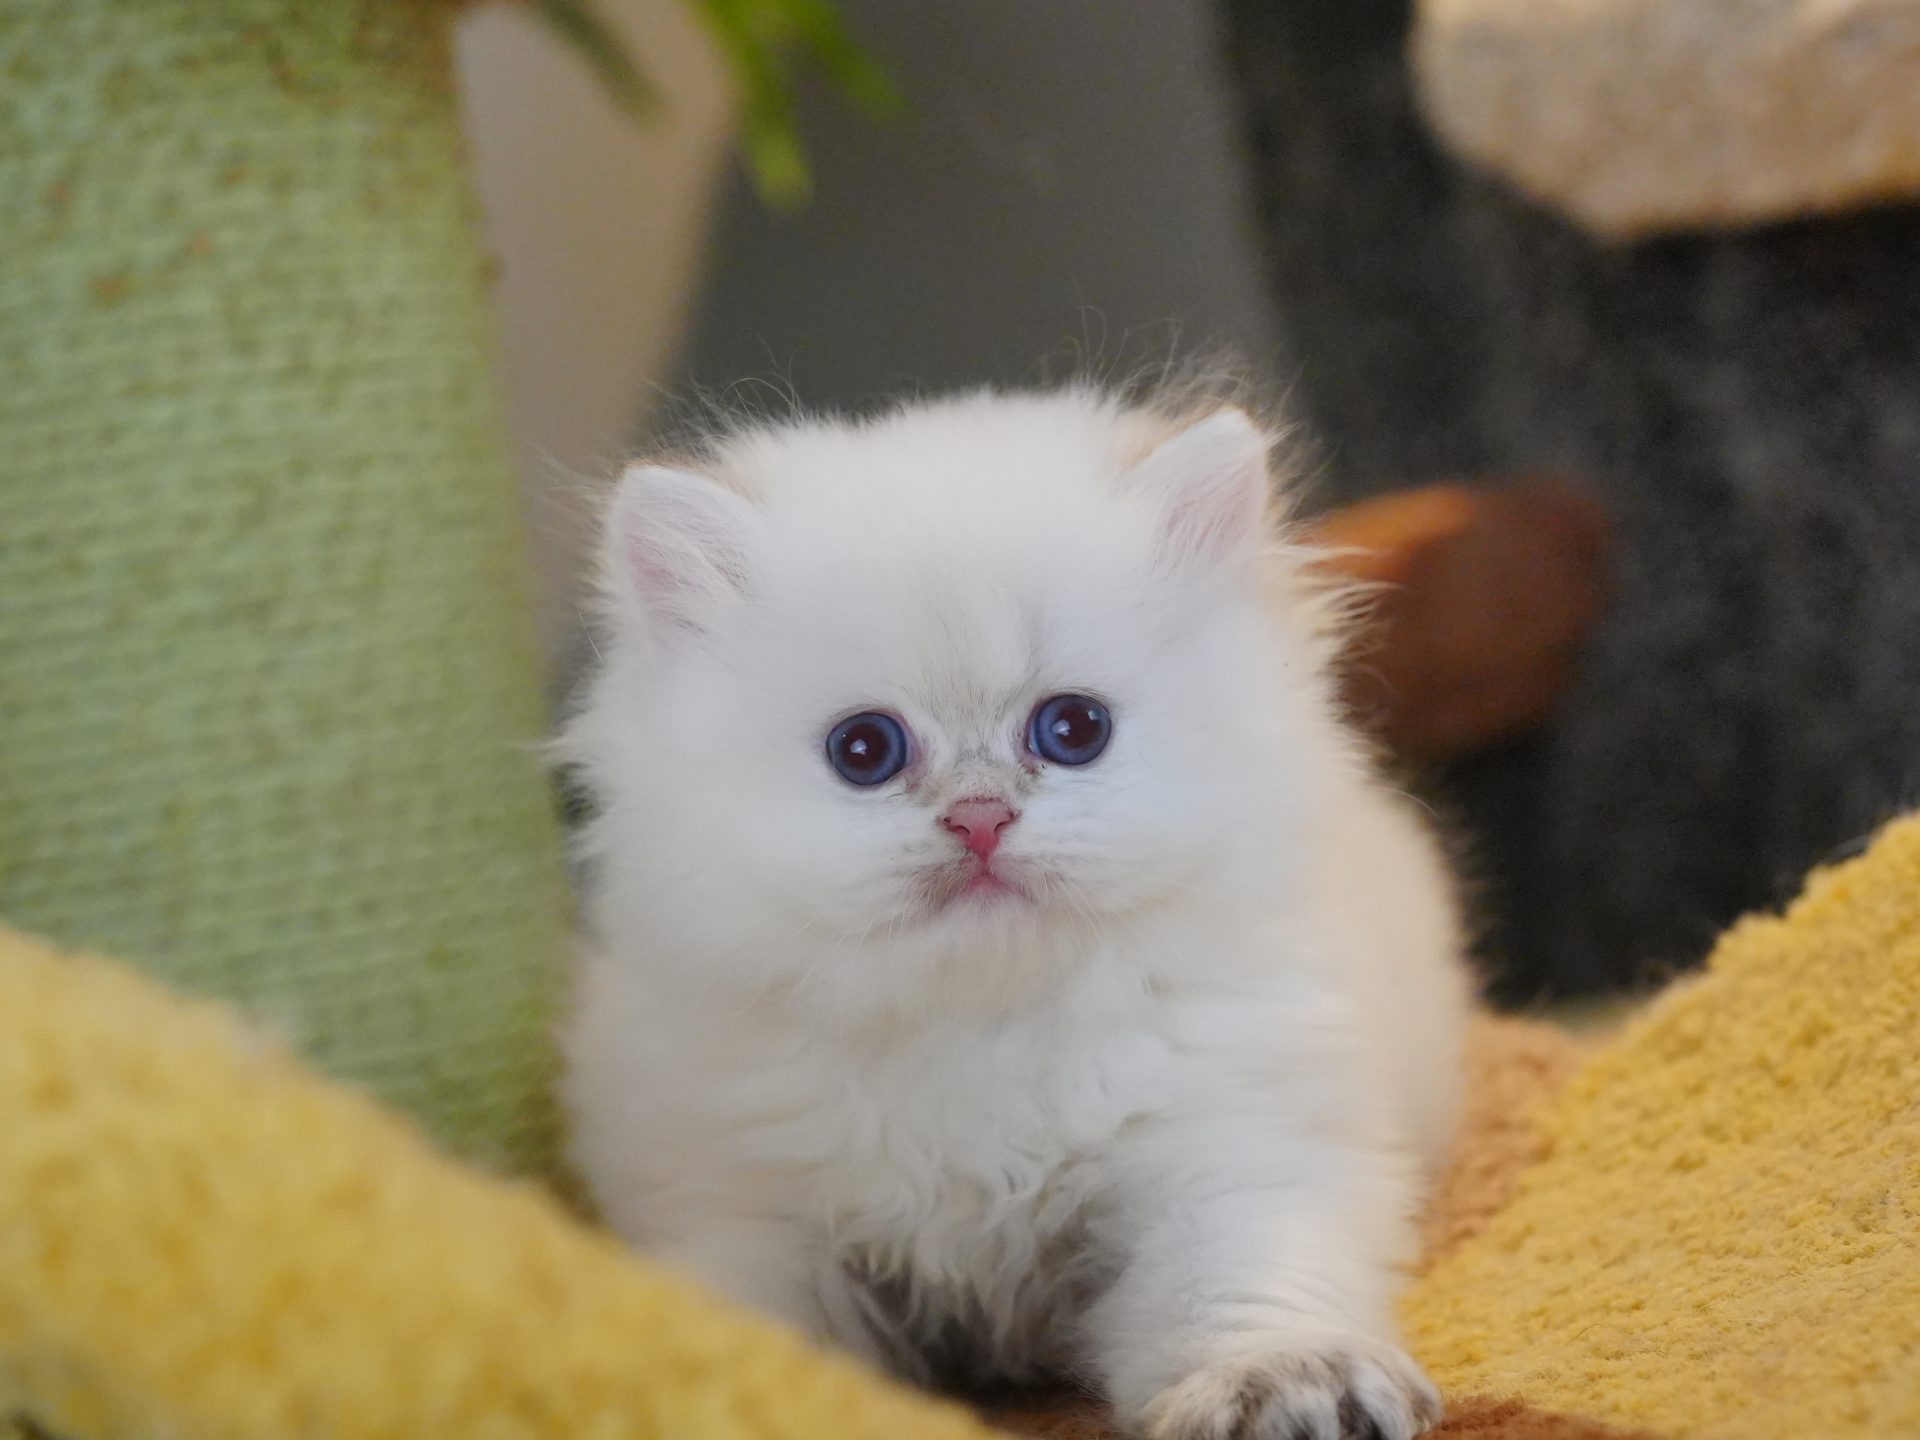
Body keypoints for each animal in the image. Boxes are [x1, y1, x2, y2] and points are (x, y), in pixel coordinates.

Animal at [556, 385, 1466, 1440]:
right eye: (864, 750)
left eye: (1073, 730)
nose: (980, 818)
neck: (980, 1032)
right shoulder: (745, 1210)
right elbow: (752, 1331)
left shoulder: (1231, 1153)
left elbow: (1239, 1291)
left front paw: (1286, 1384)